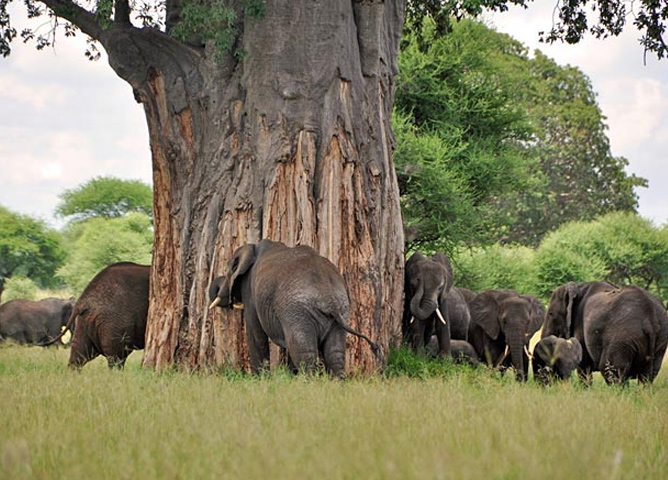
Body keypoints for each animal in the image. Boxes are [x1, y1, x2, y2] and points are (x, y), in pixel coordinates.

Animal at [207, 240, 380, 378]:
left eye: (228, 270)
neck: (253, 247)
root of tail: (329, 298)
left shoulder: (250, 293)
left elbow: (256, 334)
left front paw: (258, 379)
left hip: (298, 311)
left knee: (303, 352)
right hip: (340, 310)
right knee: (334, 353)